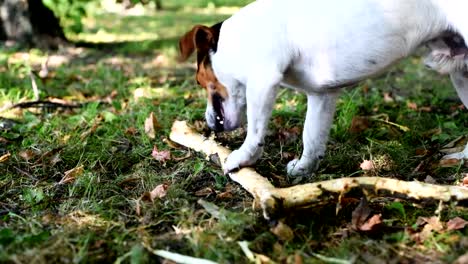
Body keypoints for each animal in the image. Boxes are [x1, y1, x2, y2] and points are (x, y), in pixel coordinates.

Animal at [179, 0, 468, 177]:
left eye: (200, 81)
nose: (207, 122)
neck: (242, 39)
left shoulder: (263, 82)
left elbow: (255, 131)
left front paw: (242, 158)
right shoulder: (322, 96)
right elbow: (312, 136)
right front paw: (304, 169)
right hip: (461, 74)